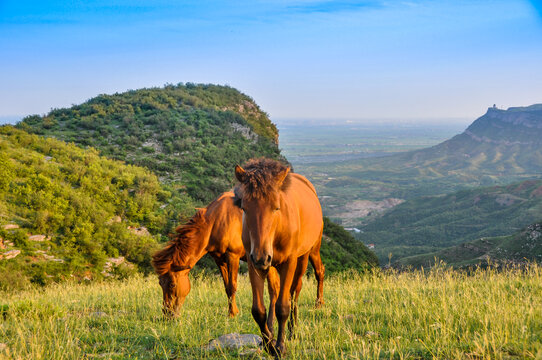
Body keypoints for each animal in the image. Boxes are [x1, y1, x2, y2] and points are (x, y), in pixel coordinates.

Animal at [153, 191, 280, 324]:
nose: (167, 315)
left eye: (172, 284)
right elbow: (227, 287)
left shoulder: (232, 256)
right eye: (160, 283)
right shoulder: (220, 260)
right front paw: (232, 313)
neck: (217, 221)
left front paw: (233, 314)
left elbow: (232, 286)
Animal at [235, 160, 328, 358]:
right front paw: (268, 343)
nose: (261, 256)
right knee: (274, 291)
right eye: (244, 207)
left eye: (276, 207)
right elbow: (258, 310)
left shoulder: (288, 262)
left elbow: (283, 306)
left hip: (308, 253)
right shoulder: (255, 264)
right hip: (270, 264)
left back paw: (298, 324)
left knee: (300, 286)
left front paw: (280, 347)